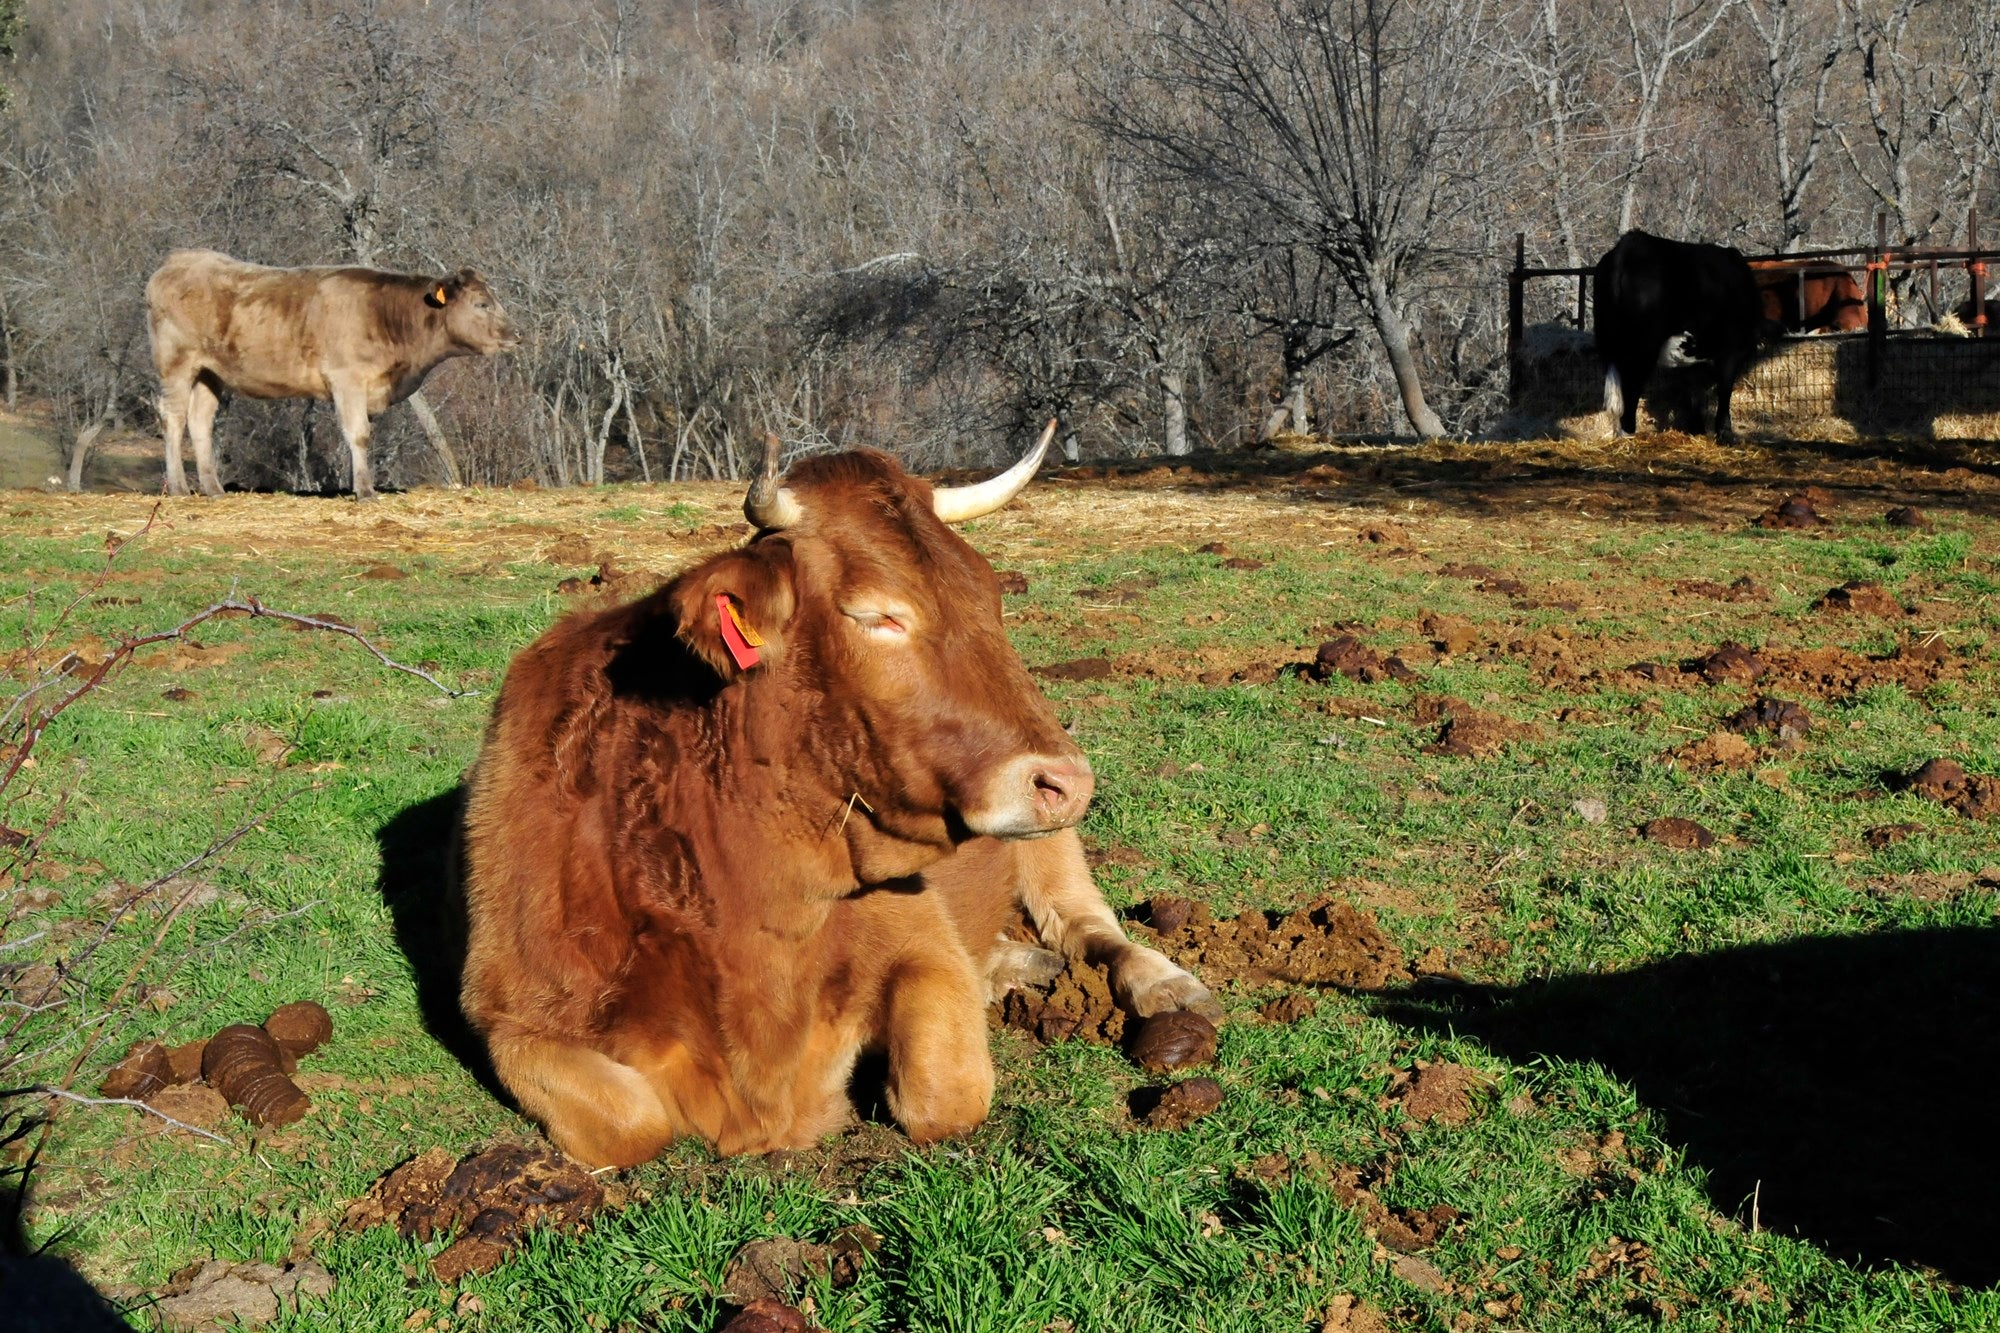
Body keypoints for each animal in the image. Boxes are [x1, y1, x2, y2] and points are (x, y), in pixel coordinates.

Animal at [145, 249, 520, 498]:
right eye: (482, 304)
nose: (516, 334)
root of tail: (180, 259)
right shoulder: (347, 379)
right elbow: (359, 434)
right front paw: (365, 492)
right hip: (176, 362)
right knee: (173, 417)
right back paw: (178, 487)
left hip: (211, 373)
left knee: (200, 422)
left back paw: (213, 488)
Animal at [460, 428, 1216, 1160]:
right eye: (877, 614)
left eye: (990, 595)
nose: (1066, 780)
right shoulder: (508, 1014)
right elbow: (630, 1123)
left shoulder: (923, 946)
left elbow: (942, 1095)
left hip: (1049, 845)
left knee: (1088, 924)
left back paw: (1162, 983)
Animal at [1592, 228, 1768, 436]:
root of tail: (1629, 245)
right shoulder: (1731, 349)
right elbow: (1724, 390)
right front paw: (1724, 432)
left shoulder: (1693, 361)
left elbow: (1695, 394)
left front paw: (1697, 430)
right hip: (1643, 346)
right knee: (1631, 387)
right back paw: (1629, 433)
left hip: (1608, 341)